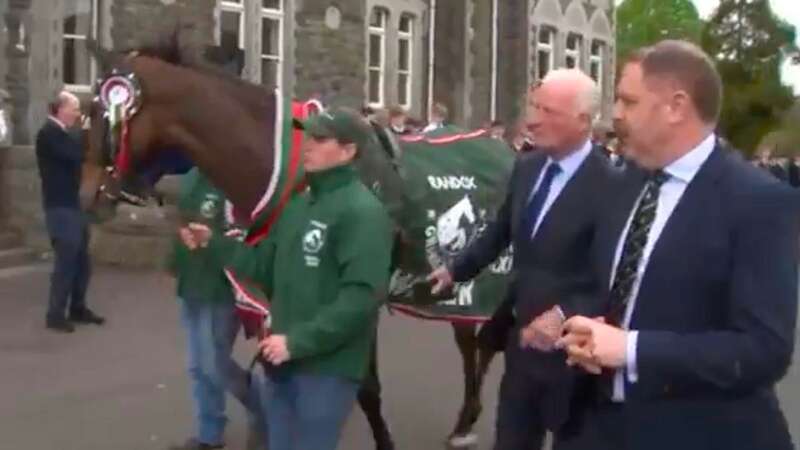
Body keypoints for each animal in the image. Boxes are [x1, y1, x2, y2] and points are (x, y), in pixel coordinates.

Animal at [84, 36, 496, 450]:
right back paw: (466, 419)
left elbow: (365, 386)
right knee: (472, 344)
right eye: (89, 111)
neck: (294, 171)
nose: (88, 195)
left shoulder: (359, 299)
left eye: (103, 113)